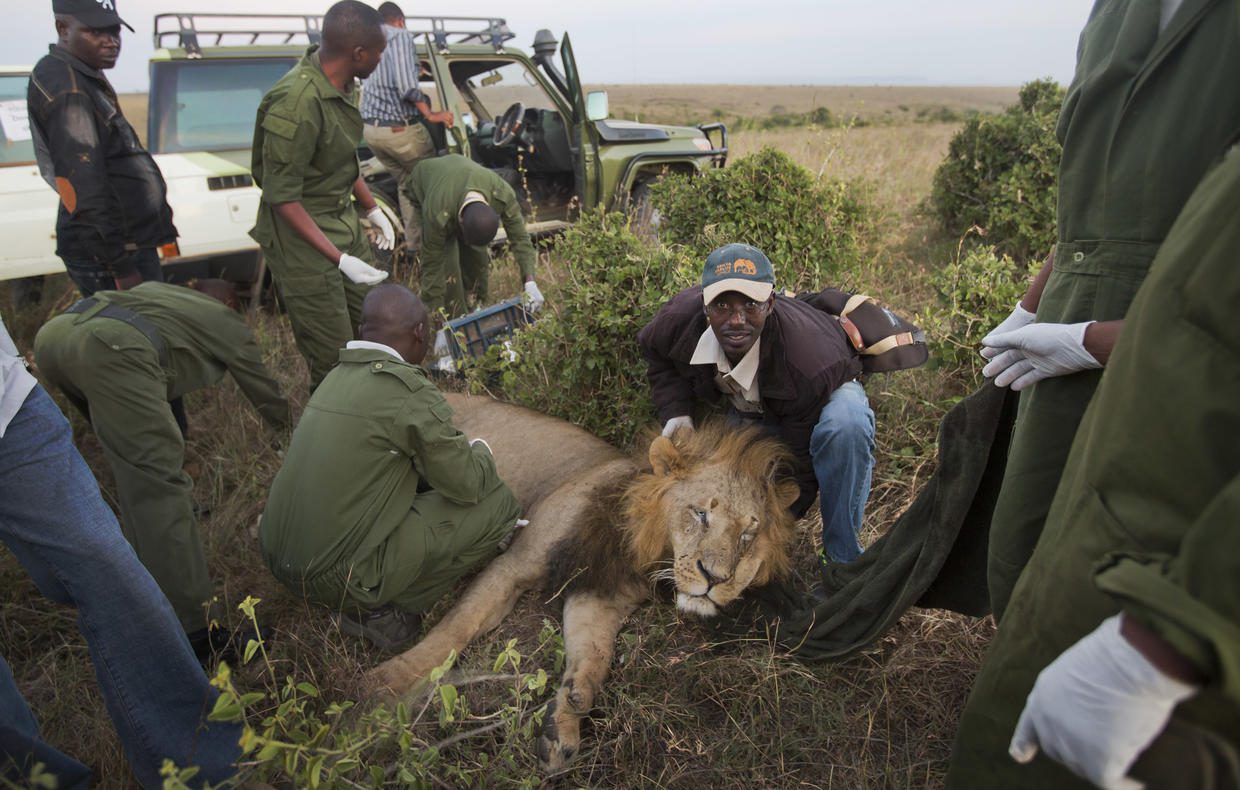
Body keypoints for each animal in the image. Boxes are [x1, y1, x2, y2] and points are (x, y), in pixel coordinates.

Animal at [364, 391, 793, 768]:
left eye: (747, 535)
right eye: (701, 513)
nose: (715, 579)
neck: (637, 545)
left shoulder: (598, 595)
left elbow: (593, 658)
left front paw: (565, 725)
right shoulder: (515, 564)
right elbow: (456, 628)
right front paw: (385, 686)